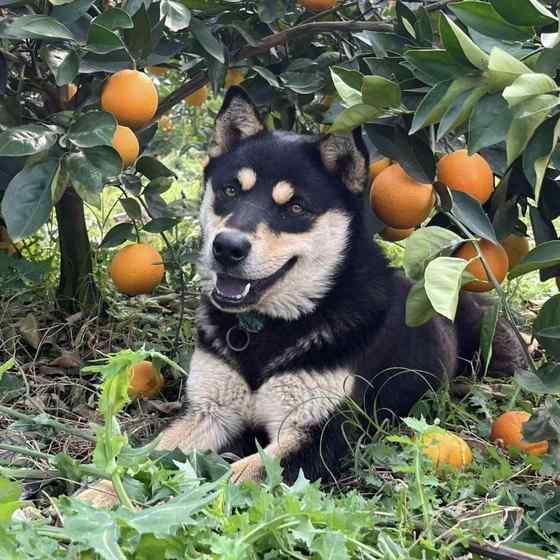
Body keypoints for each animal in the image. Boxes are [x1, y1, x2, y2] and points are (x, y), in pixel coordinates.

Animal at [81, 87, 528, 508]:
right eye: (230, 190)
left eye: (295, 207)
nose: (227, 247)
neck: (269, 328)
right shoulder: (210, 412)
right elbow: (144, 457)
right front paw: (95, 497)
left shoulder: (319, 433)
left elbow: (236, 477)